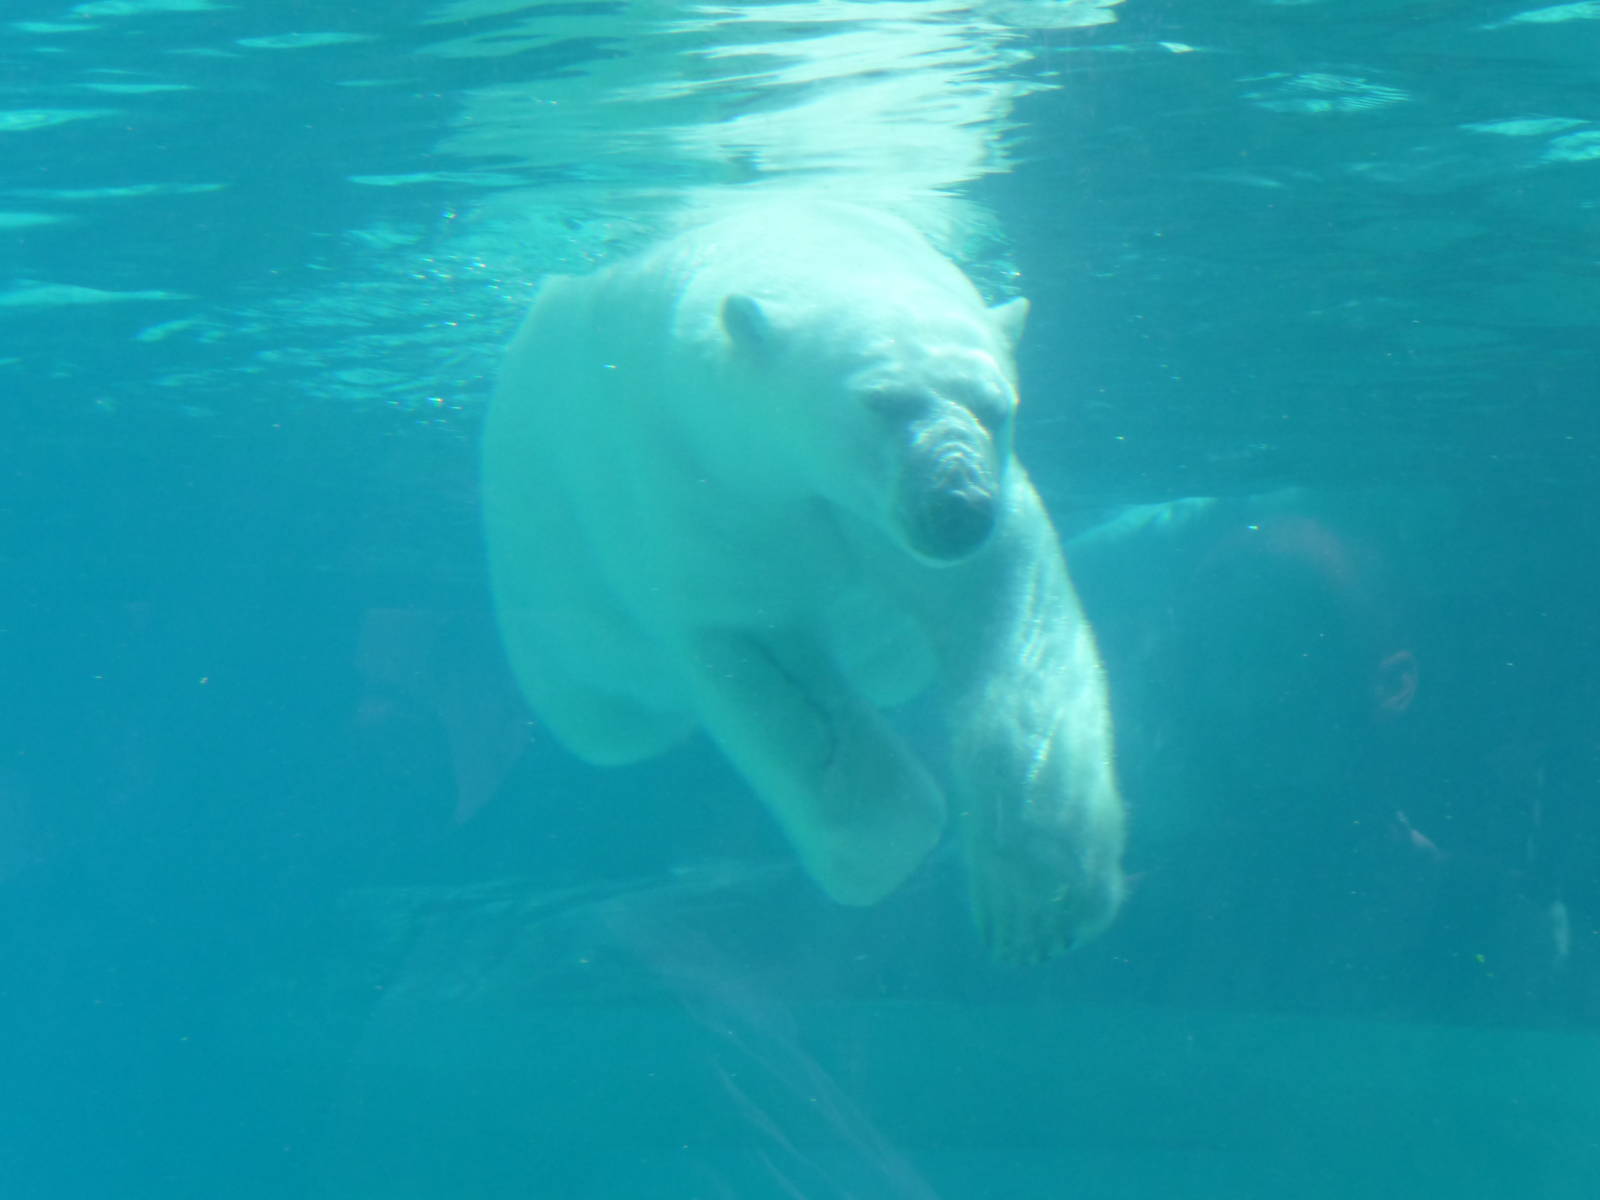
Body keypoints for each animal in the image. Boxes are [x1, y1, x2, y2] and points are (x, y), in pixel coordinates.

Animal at [481, 199, 1125, 961]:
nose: (959, 509)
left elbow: (1012, 621)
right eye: (881, 401)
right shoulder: (697, 487)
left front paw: (1041, 899)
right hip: (554, 603)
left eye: (999, 407)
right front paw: (892, 849)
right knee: (608, 721)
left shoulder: (934, 517)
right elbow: (776, 671)